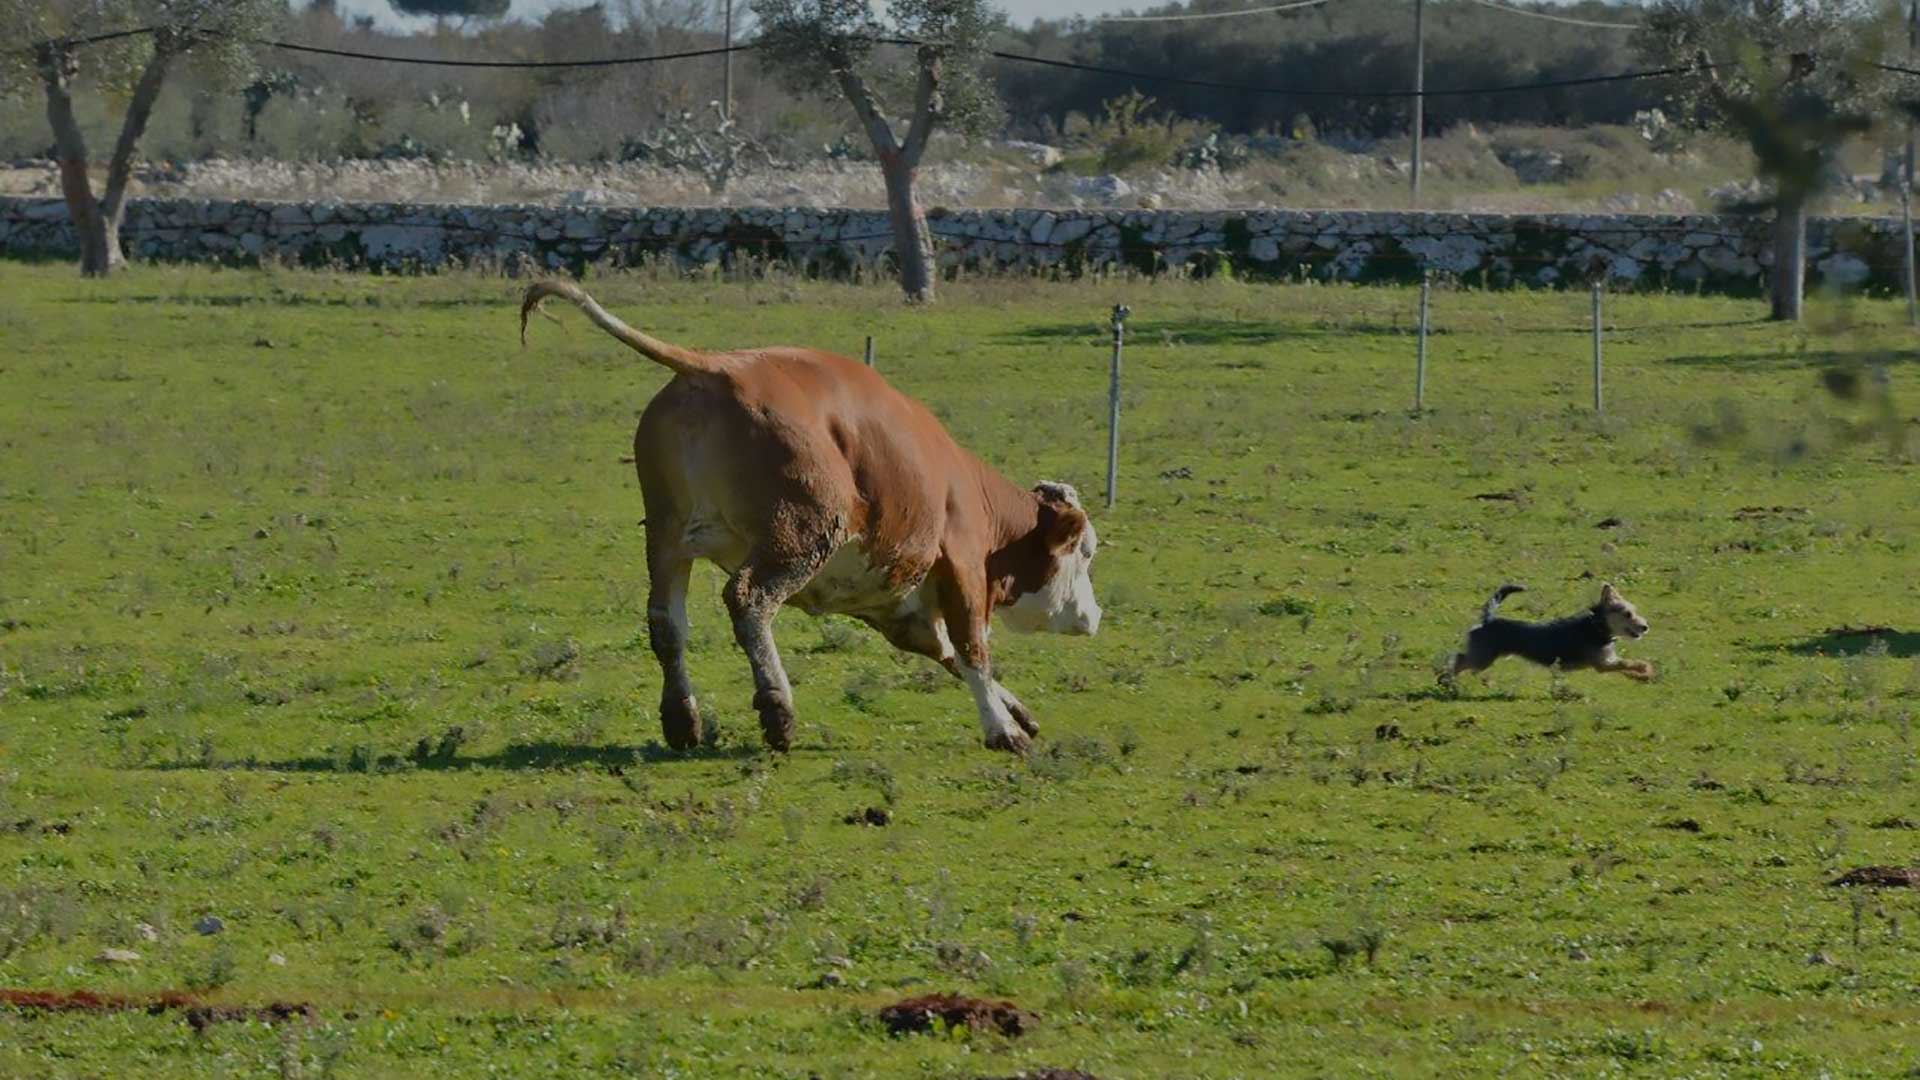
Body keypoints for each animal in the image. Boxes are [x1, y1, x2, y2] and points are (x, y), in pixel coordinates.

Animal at [518, 282, 1105, 753]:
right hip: (801, 534)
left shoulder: (898, 609)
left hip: (667, 538)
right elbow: (972, 649)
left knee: (667, 623)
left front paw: (1015, 711)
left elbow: (946, 653)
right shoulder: (960, 565)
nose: (1095, 615)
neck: (963, 485)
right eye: (1086, 552)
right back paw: (777, 709)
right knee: (748, 600)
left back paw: (683, 720)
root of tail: (719, 366)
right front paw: (1001, 729)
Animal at [1443, 580, 1651, 680]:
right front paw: (1644, 669)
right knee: (1459, 659)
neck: (1597, 627)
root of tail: (1488, 620)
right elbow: (1629, 663)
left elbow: (1626, 666)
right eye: (1627, 614)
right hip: (1483, 658)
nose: (1645, 627)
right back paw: (1446, 678)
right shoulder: (1602, 665)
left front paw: (1642, 676)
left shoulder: (1609, 661)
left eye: (1634, 611)